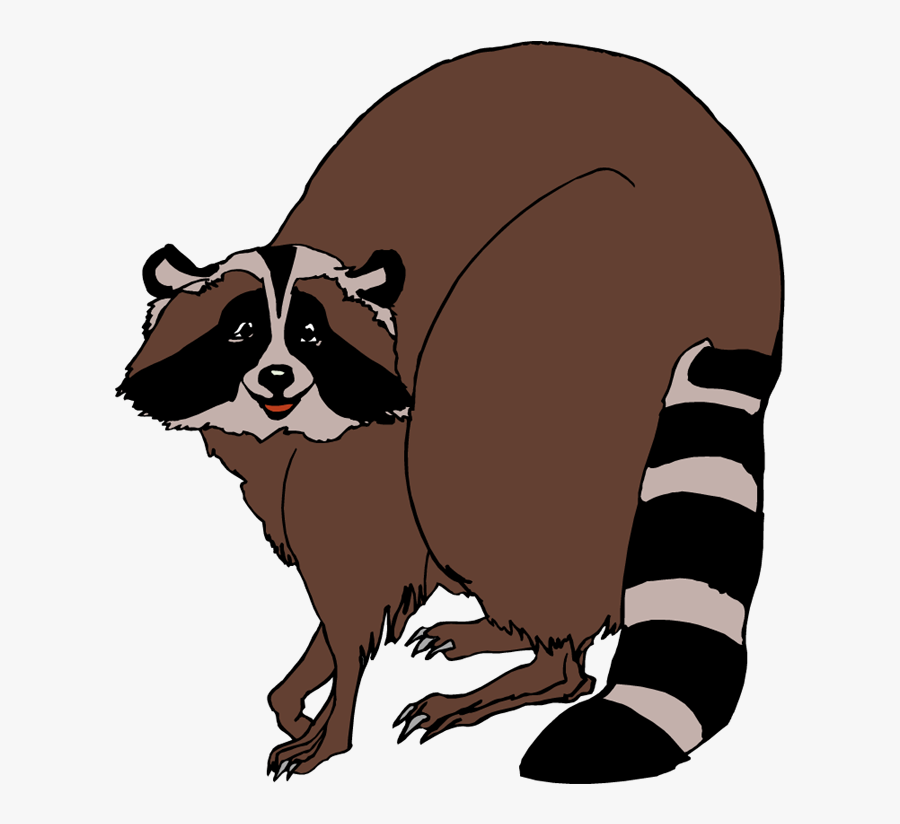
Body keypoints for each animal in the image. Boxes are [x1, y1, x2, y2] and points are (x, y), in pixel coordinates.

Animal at [119, 42, 782, 783]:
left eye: (311, 335)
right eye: (241, 332)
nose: (278, 377)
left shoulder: (367, 456)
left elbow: (358, 579)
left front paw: (334, 717)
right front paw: (302, 685)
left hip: (576, 303)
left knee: (473, 493)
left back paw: (542, 668)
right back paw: (507, 634)